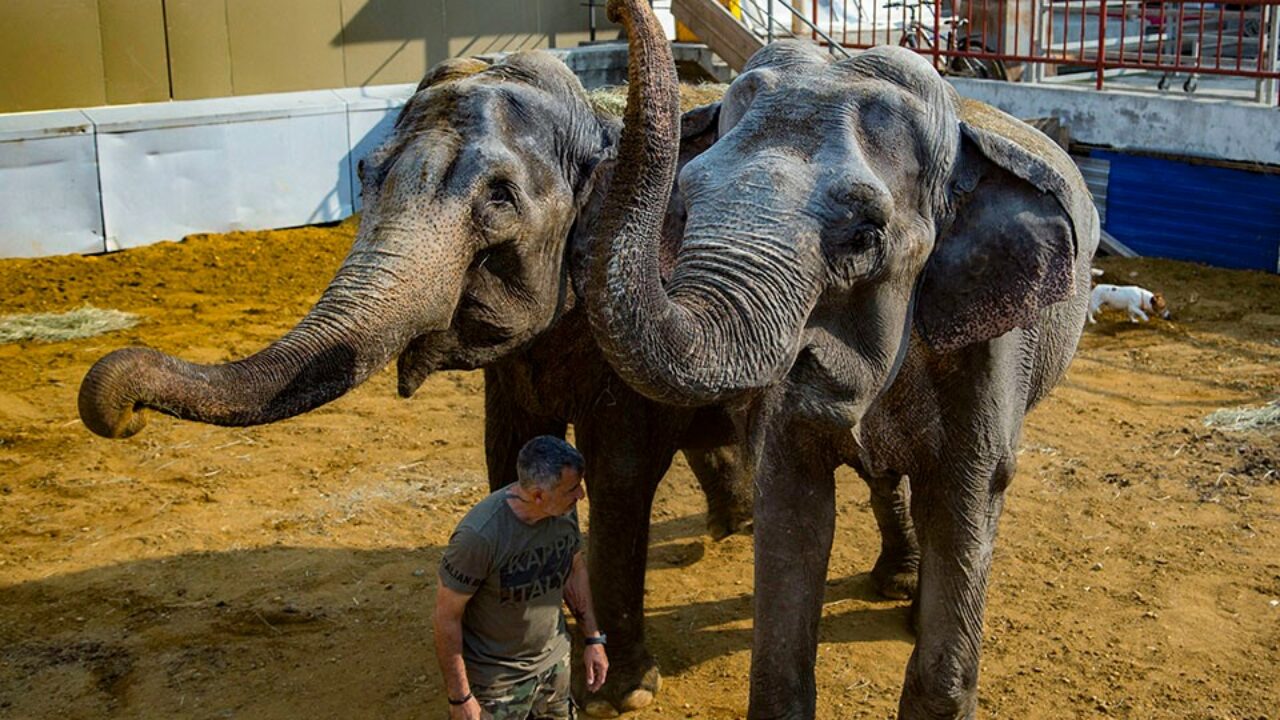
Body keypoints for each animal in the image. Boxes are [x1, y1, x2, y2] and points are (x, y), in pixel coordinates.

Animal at [77, 49, 921, 712]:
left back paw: (895, 587)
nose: (121, 411)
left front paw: (625, 690)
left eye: (499, 198)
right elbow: (507, 448)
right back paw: (732, 528)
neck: (602, 122)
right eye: (364, 172)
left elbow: (619, 473)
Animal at [586, 2, 1095, 712]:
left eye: (863, 235)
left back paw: (907, 600)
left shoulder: (991, 344)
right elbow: (794, 503)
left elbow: (967, 498)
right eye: (682, 205)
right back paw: (896, 580)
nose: (613, 12)